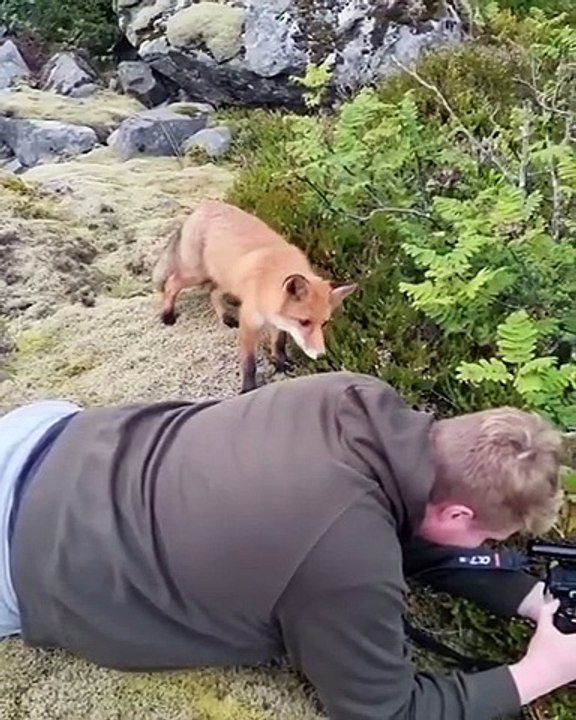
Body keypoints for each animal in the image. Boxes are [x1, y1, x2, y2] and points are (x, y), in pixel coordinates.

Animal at [152, 199, 357, 394]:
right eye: (304, 322)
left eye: (324, 323)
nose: (321, 355)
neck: (267, 281)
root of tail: (203, 206)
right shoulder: (249, 322)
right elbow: (249, 364)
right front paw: (248, 388)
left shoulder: (277, 320)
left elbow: (279, 344)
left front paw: (280, 364)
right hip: (196, 274)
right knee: (172, 284)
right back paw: (168, 315)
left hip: (225, 280)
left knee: (213, 294)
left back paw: (226, 318)